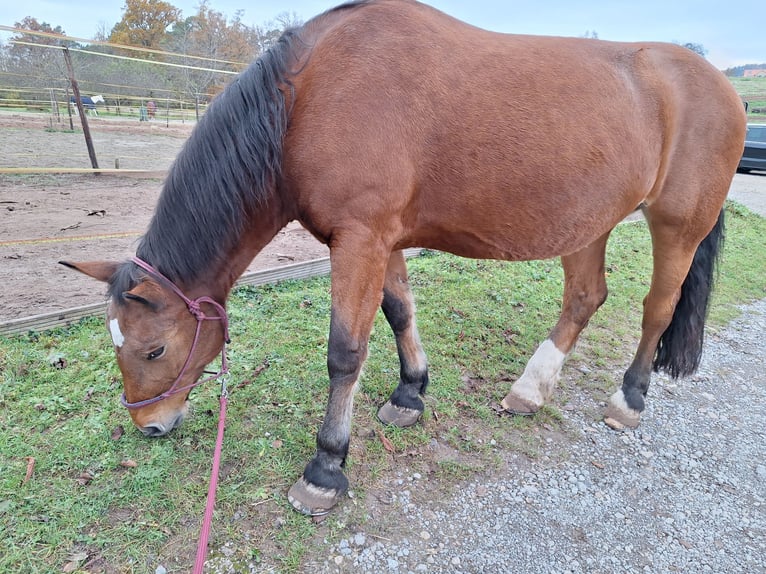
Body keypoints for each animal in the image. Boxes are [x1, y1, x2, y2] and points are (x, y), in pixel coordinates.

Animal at [60, 0, 744, 516]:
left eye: (154, 349)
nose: (150, 426)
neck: (307, 98)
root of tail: (722, 85)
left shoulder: (361, 239)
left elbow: (345, 352)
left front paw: (326, 467)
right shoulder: (379, 241)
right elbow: (398, 313)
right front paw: (410, 394)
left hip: (676, 227)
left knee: (657, 309)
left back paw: (628, 400)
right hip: (589, 223)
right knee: (585, 297)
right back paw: (529, 389)